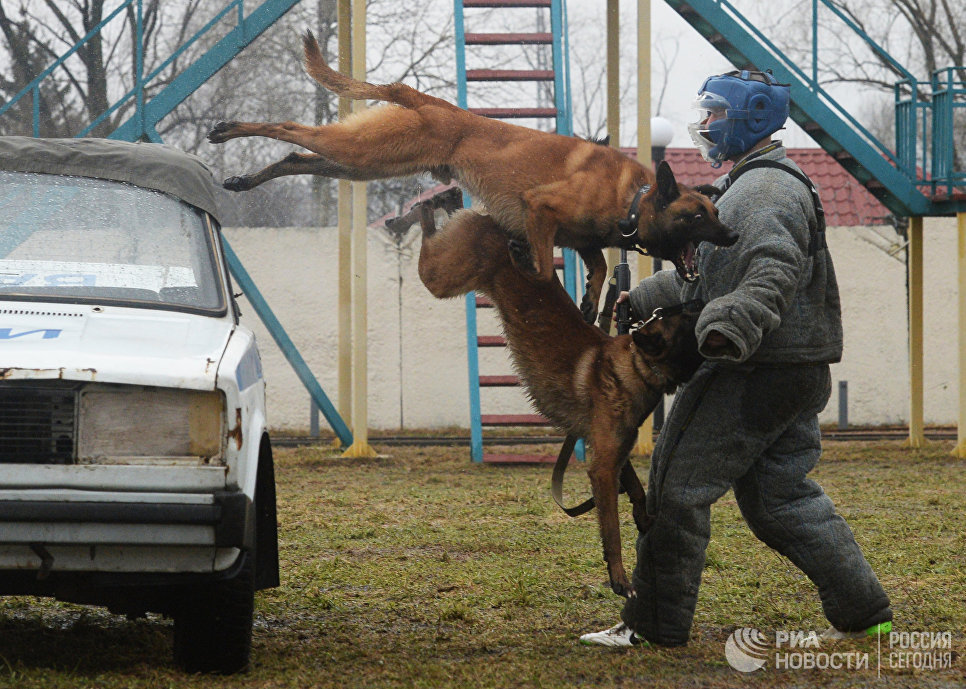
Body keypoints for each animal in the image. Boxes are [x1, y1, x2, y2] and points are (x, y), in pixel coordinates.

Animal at [208, 30, 736, 318]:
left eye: (713, 212)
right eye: (696, 215)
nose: (731, 235)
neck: (633, 196)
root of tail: (430, 102)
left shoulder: (583, 239)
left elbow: (600, 267)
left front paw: (589, 302)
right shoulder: (540, 209)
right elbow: (542, 269)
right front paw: (526, 259)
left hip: (363, 162)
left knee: (296, 158)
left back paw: (242, 181)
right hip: (365, 151)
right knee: (289, 129)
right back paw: (227, 129)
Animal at [416, 194, 704, 596]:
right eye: (688, 322)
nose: (703, 300)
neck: (631, 366)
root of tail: (496, 220)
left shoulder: (614, 452)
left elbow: (634, 486)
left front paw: (645, 518)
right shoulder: (602, 468)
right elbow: (611, 529)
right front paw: (619, 578)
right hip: (443, 278)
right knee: (426, 249)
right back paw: (428, 206)